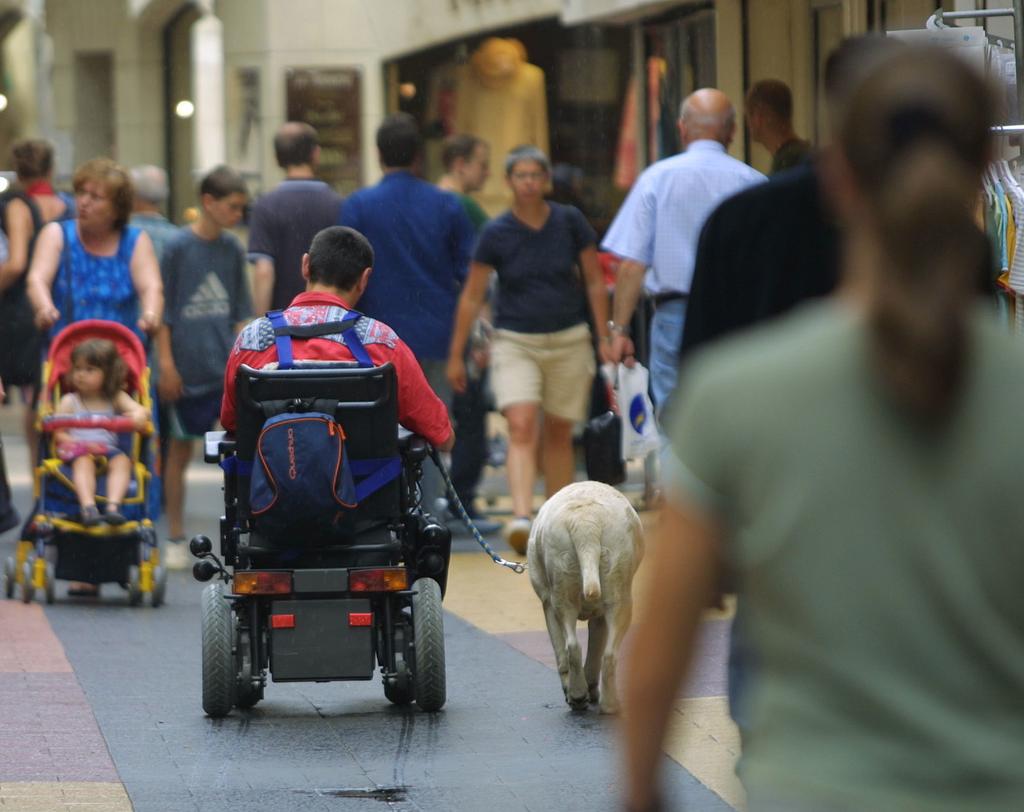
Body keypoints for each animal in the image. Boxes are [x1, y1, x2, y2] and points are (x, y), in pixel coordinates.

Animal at [528, 479, 638, 712]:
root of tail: (585, 522)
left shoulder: (548, 606)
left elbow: (561, 654)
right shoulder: (599, 617)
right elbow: (593, 652)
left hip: (563, 596)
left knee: (571, 647)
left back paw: (578, 695)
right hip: (618, 597)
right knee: (606, 654)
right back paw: (608, 704)